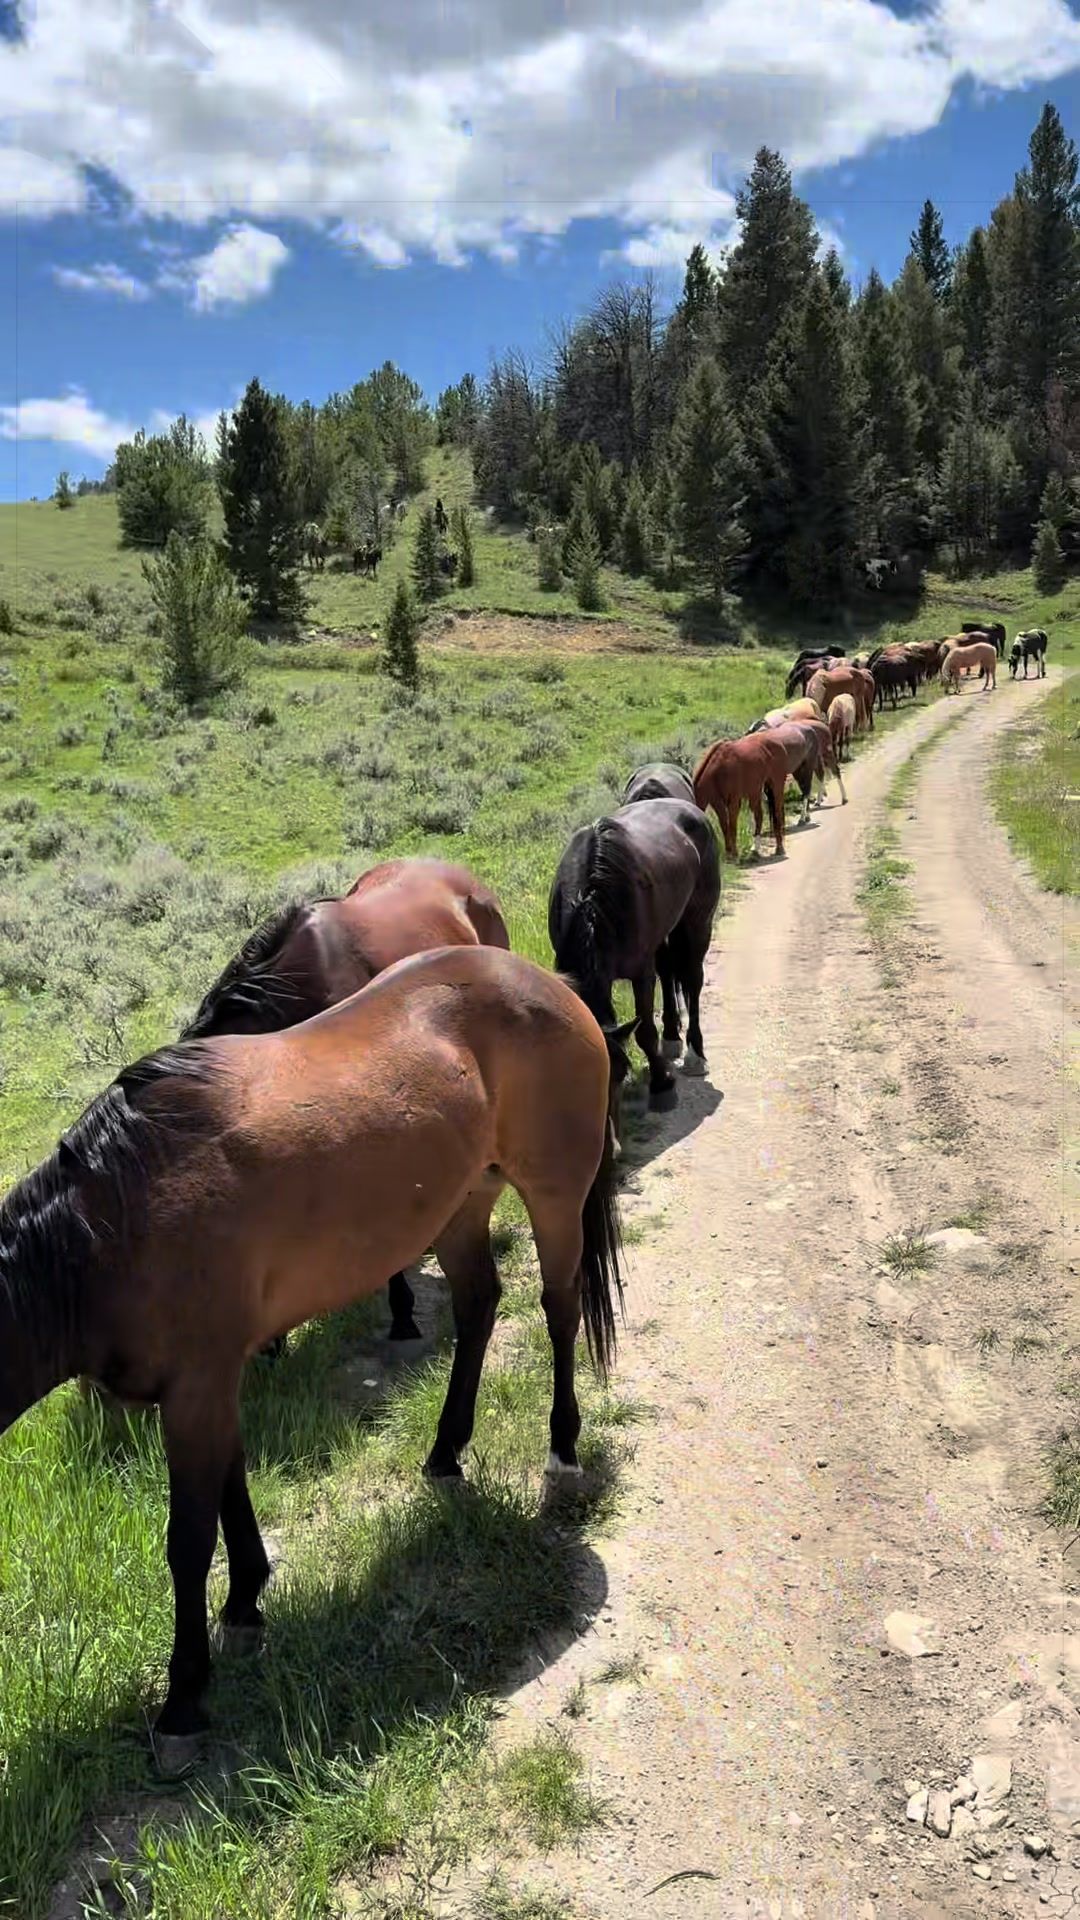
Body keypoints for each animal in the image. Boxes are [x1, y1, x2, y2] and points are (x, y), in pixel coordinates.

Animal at [0, 946, 627, 1770]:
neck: (110, 1228)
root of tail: (545, 980)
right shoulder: (211, 1383)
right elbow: (231, 1488)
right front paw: (244, 1605)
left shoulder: (196, 1385)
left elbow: (189, 1541)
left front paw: (183, 1702)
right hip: (460, 1203)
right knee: (478, 1306)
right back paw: (445, 1453)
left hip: (554, 1194)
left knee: (558, 1309)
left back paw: (561, 1452)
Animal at [549, 799, 720, 1119]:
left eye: (617, 1077)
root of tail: (691, 809)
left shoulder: (640, 972)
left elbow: (646, 1033)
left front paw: (662, 1085)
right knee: (667, 971)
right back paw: (672, 1038)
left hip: (698, 922)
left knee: (692, 979)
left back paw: (696, 1055)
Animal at [693, 734, 788, 863]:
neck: (718, 771)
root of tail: (778, 743)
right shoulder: (717, 802)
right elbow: (724, 826)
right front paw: (729, 854)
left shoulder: (733, 801)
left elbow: (732, 826)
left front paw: (734, 854)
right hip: (755, 791)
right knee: (759, 816)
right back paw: (755, 850)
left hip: (776, 786)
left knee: (777, 814)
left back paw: (779, 848)